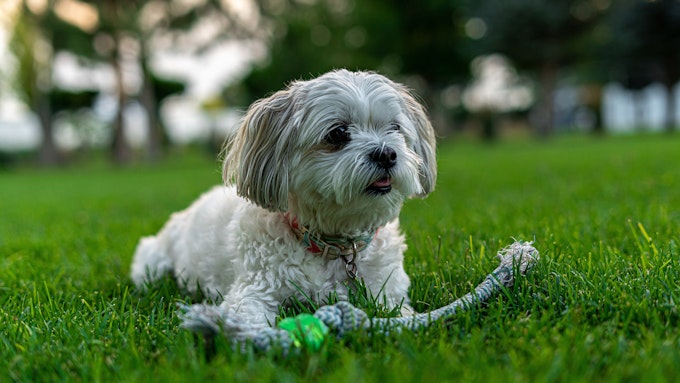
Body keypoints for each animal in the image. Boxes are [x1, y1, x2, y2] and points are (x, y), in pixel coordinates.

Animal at [130, 70, 438, 328]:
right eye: (338, 133)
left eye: (395, 128)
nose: (386, 154)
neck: (334, 247)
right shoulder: (253, 290)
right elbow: (247, 318)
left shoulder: (388, 291)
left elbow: (400, 312)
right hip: (152, 263)